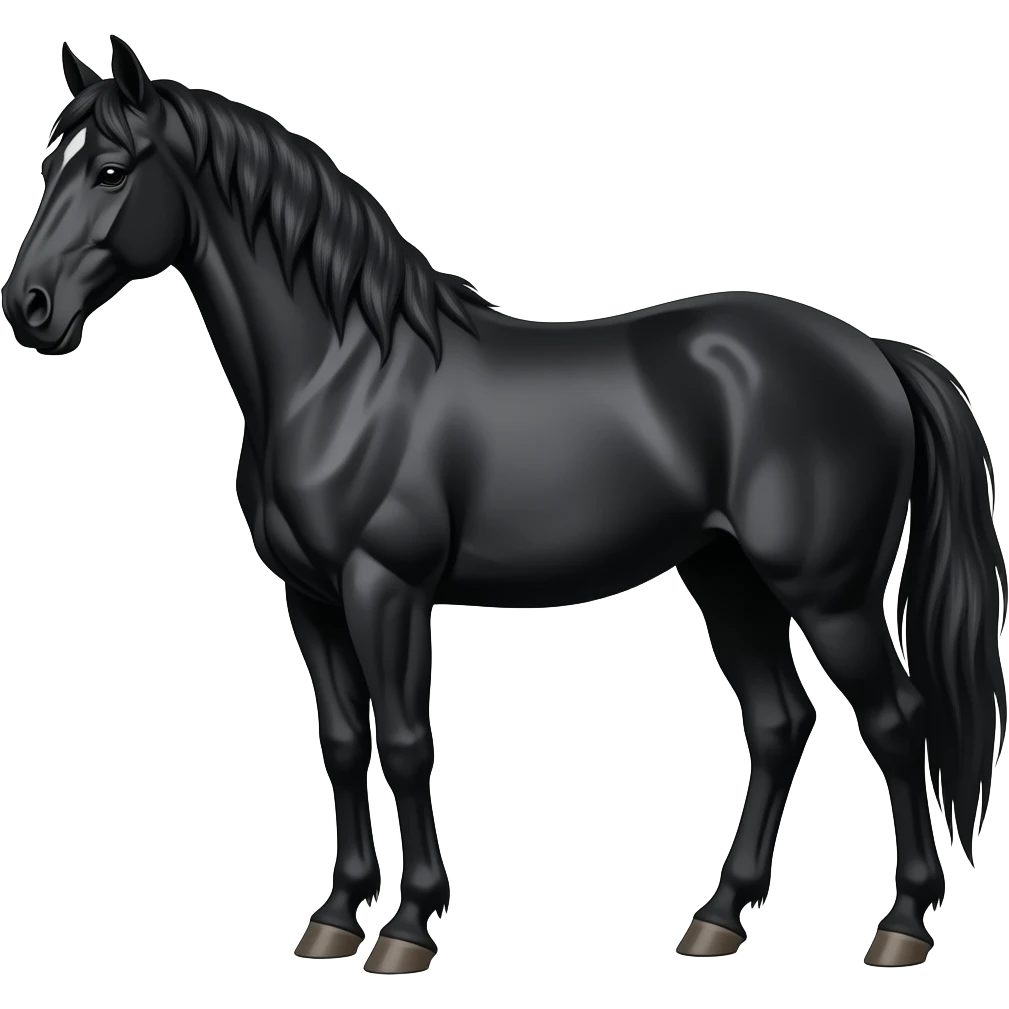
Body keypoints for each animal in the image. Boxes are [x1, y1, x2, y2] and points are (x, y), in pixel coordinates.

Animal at [3, 36, 1005, 974]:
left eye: (111, 169)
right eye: (50, 165)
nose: (29, 308)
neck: (341, 371)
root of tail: (873, 352)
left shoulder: (385, 588)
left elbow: (406, 742)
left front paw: (407, 927)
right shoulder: (311, 597)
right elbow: (342, 741)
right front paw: (334, 916)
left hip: (828, 593)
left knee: (896, 720)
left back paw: (900, 925)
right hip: (725, 575)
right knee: (777, 722)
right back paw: (717, 918)